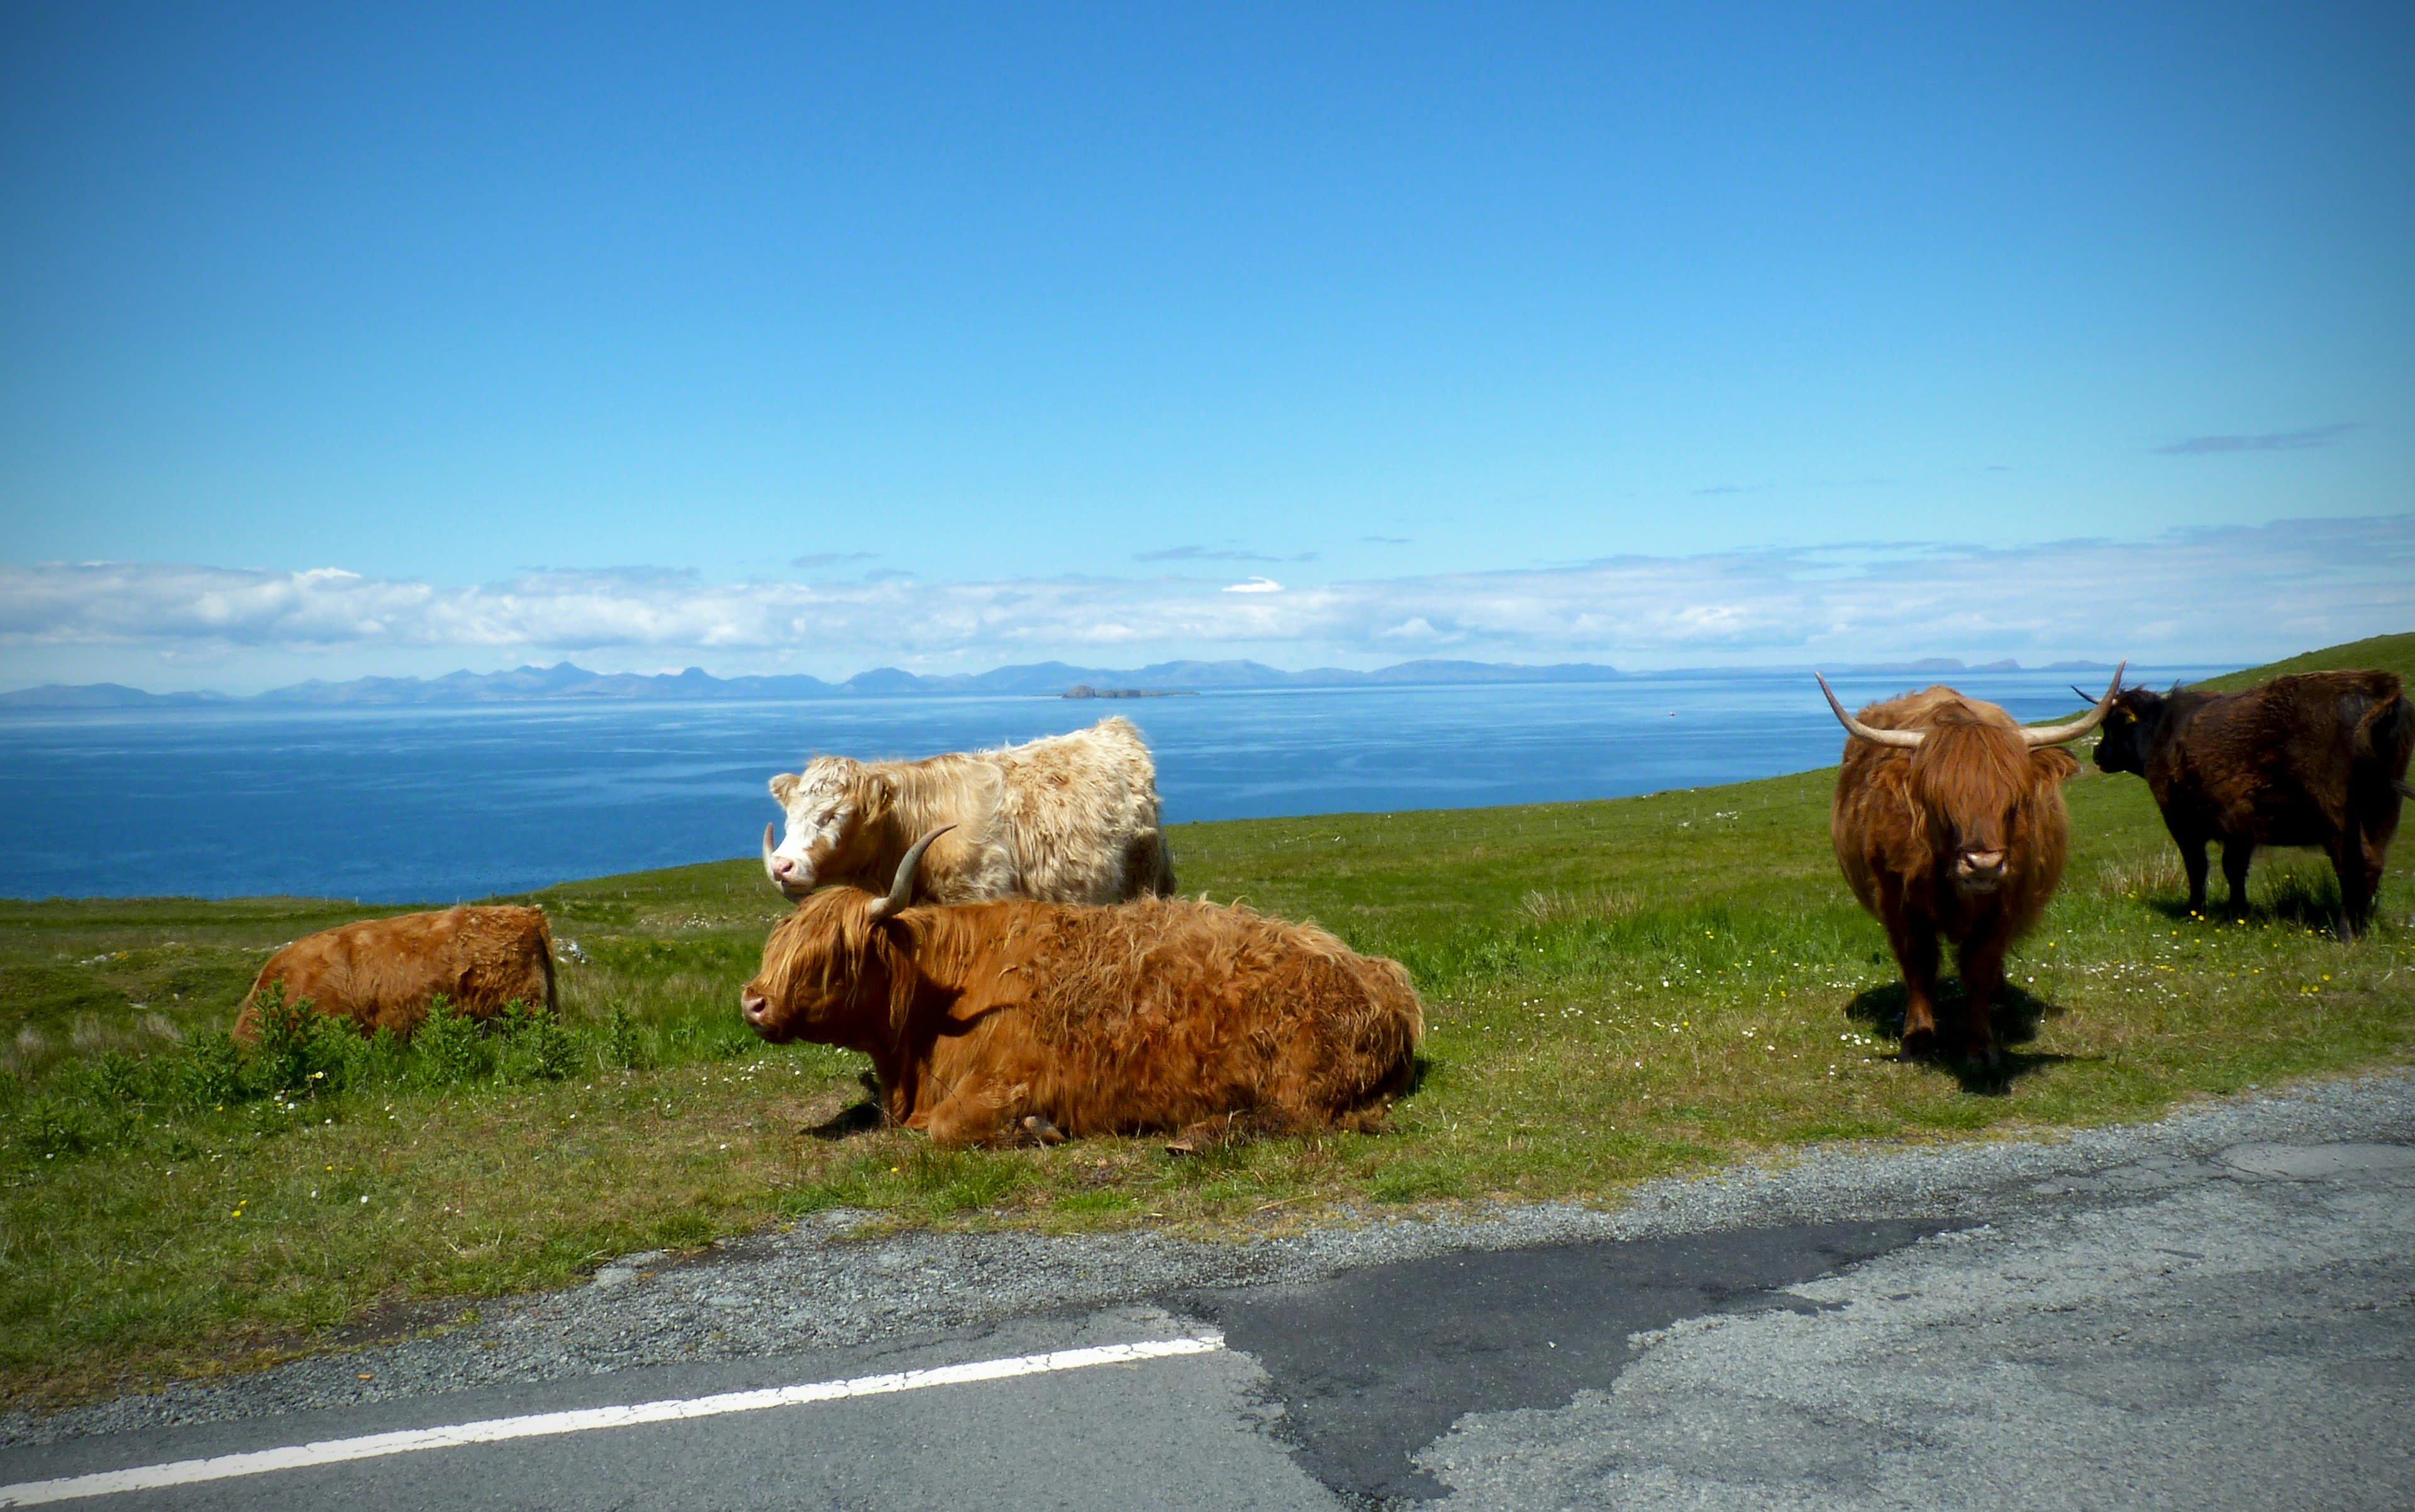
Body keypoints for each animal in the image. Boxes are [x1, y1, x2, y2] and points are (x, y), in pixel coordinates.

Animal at [740, 828, 1422, 1148]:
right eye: (777, 945)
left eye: (833, 953)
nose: (753, 1001)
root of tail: (1382, 977)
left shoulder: (1006, 1083)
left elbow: (944, 1129)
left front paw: (1034, 1131)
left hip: (1295, 1069)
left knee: (1295, 1119)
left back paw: (1192, 1138)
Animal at [1819, 669, 2123, 1068]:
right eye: (1939, 802)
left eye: (2015, 802)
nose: (1984, 865)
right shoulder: (1896, 901)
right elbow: (1918, 962)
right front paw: (1917, 1038)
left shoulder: (2006, 903)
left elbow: (1979, 966)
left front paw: (1980, 1044)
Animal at [2086, 669, 2414, 938]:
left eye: (2111, 725)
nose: (2097, 754)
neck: (2162, 731)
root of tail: (2379, 686)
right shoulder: (2240, 825)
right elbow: (2234, 868)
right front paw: (2238, 913)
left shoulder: (2182, 821)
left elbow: (2198, 867)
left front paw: (2196, 912)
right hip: (2383, 809)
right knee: (2374, 863)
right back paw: (2364, 925)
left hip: (2337, 815)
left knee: (2354, 865)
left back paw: (2345, 932)